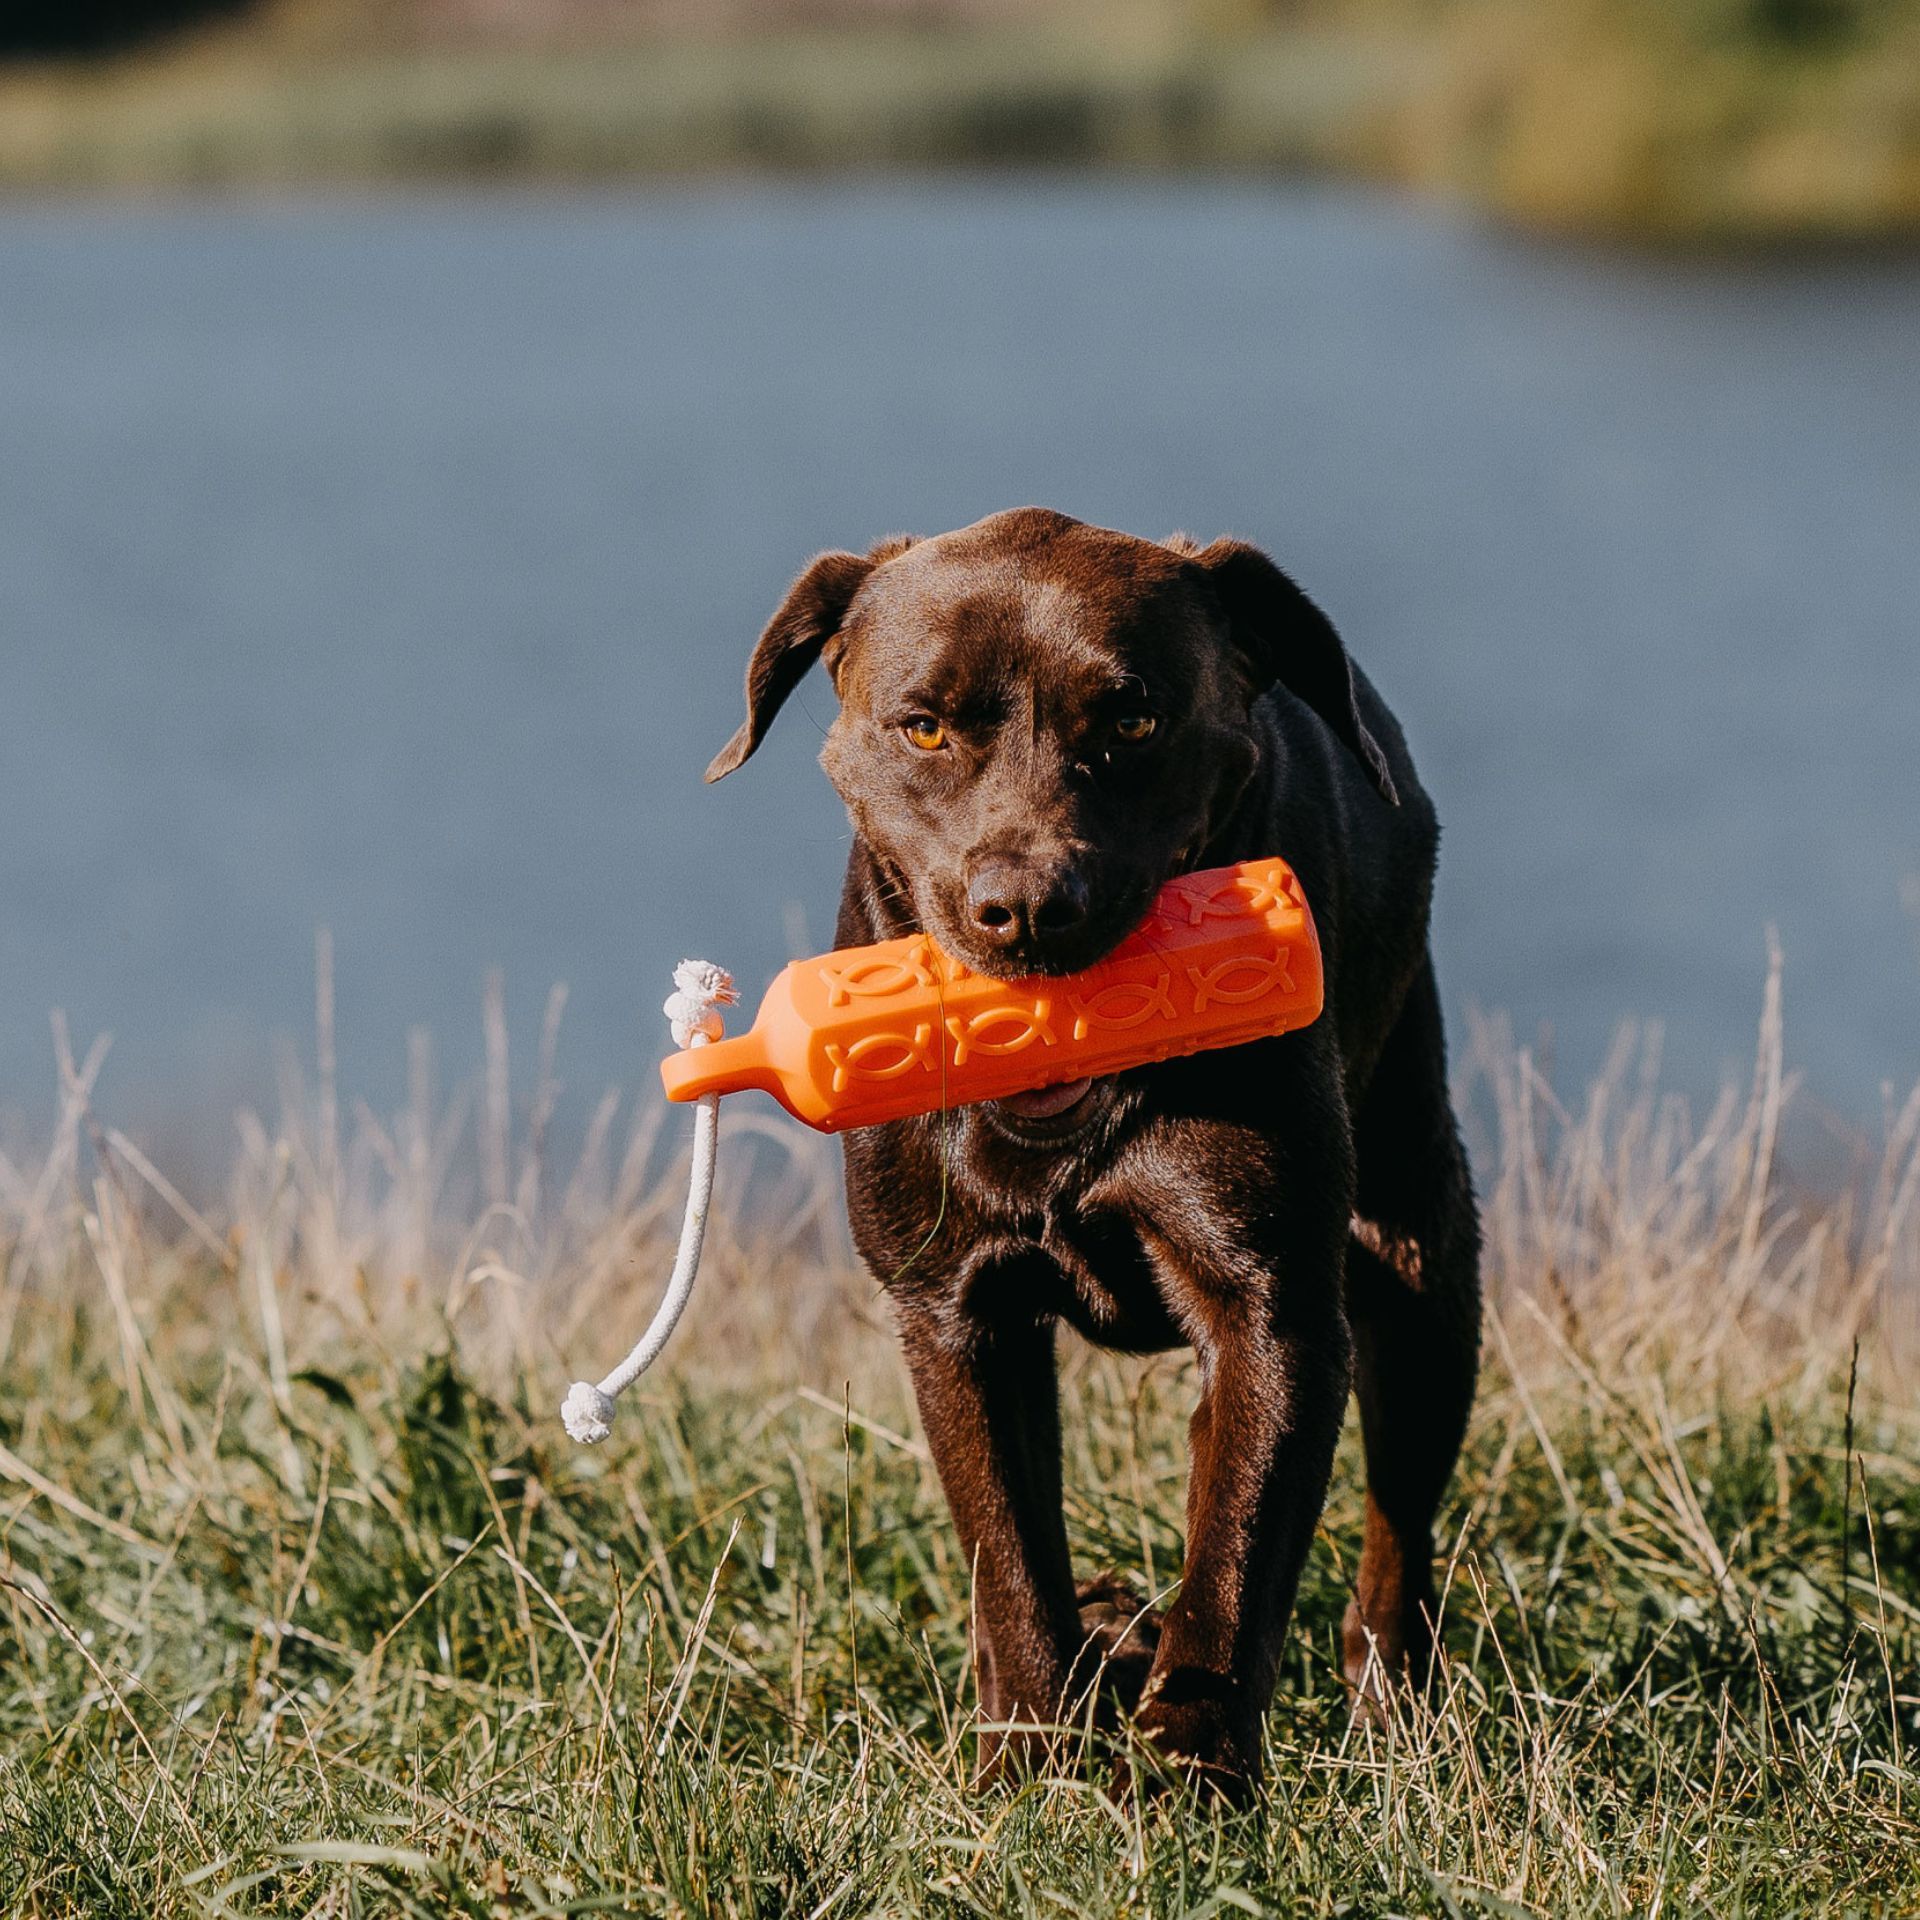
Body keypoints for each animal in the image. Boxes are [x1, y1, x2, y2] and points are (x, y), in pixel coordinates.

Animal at [707, 507, 1481, 1796]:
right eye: (923, 725)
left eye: (1134, 722)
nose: (1026, 907)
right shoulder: (950, 1311)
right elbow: (1010, 1554)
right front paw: (1026, 1761)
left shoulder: (1272, 1306)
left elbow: (1237, 1559)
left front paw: (1191, 1775)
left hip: (1420, 1243)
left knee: (1393, 1523)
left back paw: (1388, 1708)